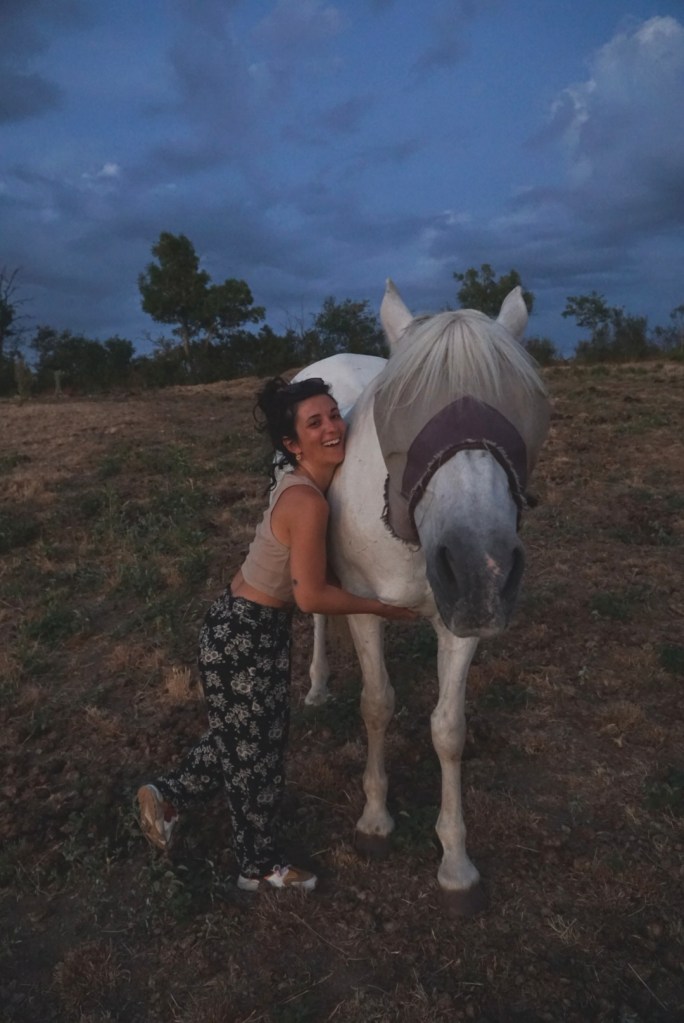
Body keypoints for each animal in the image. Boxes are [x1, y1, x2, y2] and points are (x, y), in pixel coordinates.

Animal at [294, 280, 550, 914]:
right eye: (398, 407)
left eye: (527, 406)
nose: (482, 567)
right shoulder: (360, 605)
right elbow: (377, 704)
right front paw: (375, 821)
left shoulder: (461, 621)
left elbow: (448, 730)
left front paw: (455, 863)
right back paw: (316, 685)